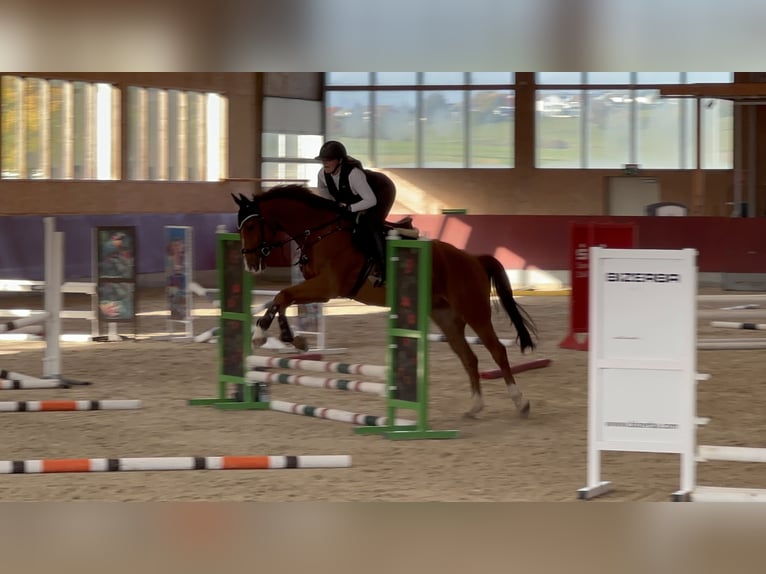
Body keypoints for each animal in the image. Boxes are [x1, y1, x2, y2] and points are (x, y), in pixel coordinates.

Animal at [233, 184, 538, 420]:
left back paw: (521, 402)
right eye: (240, 227)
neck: (321, 233)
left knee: (497, 350)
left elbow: (283, 296)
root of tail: (473, 258)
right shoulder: (318, 289)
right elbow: (283, 298)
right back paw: (475, 407)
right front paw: (288, 338)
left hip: (474, 311)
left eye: (252, 225)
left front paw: (265, 335)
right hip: (446, 318)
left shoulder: (328, 286)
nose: (250, 265)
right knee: (469, 358)